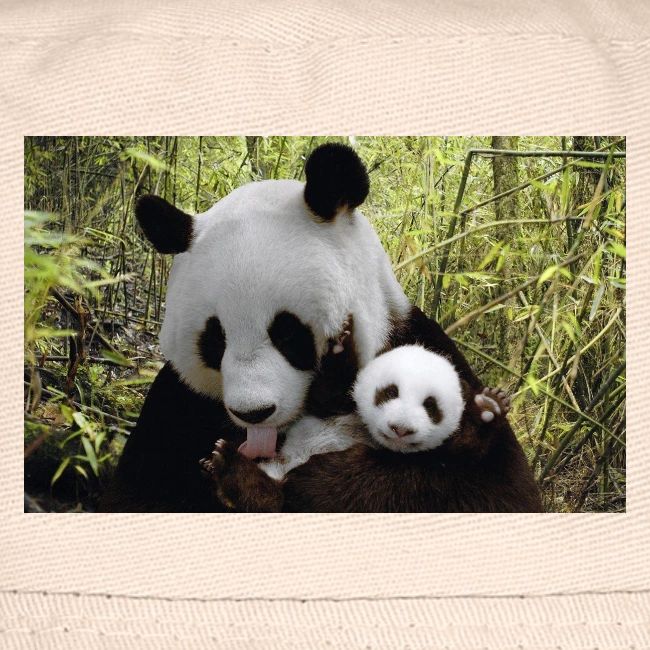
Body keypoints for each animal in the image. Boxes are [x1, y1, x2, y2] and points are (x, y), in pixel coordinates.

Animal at [100, 143, 541, 513]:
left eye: (287, 333)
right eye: (215, 339)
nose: (254, 413)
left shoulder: (421, 347)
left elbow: (491, 489)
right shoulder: (178, 405)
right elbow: (137, 493)